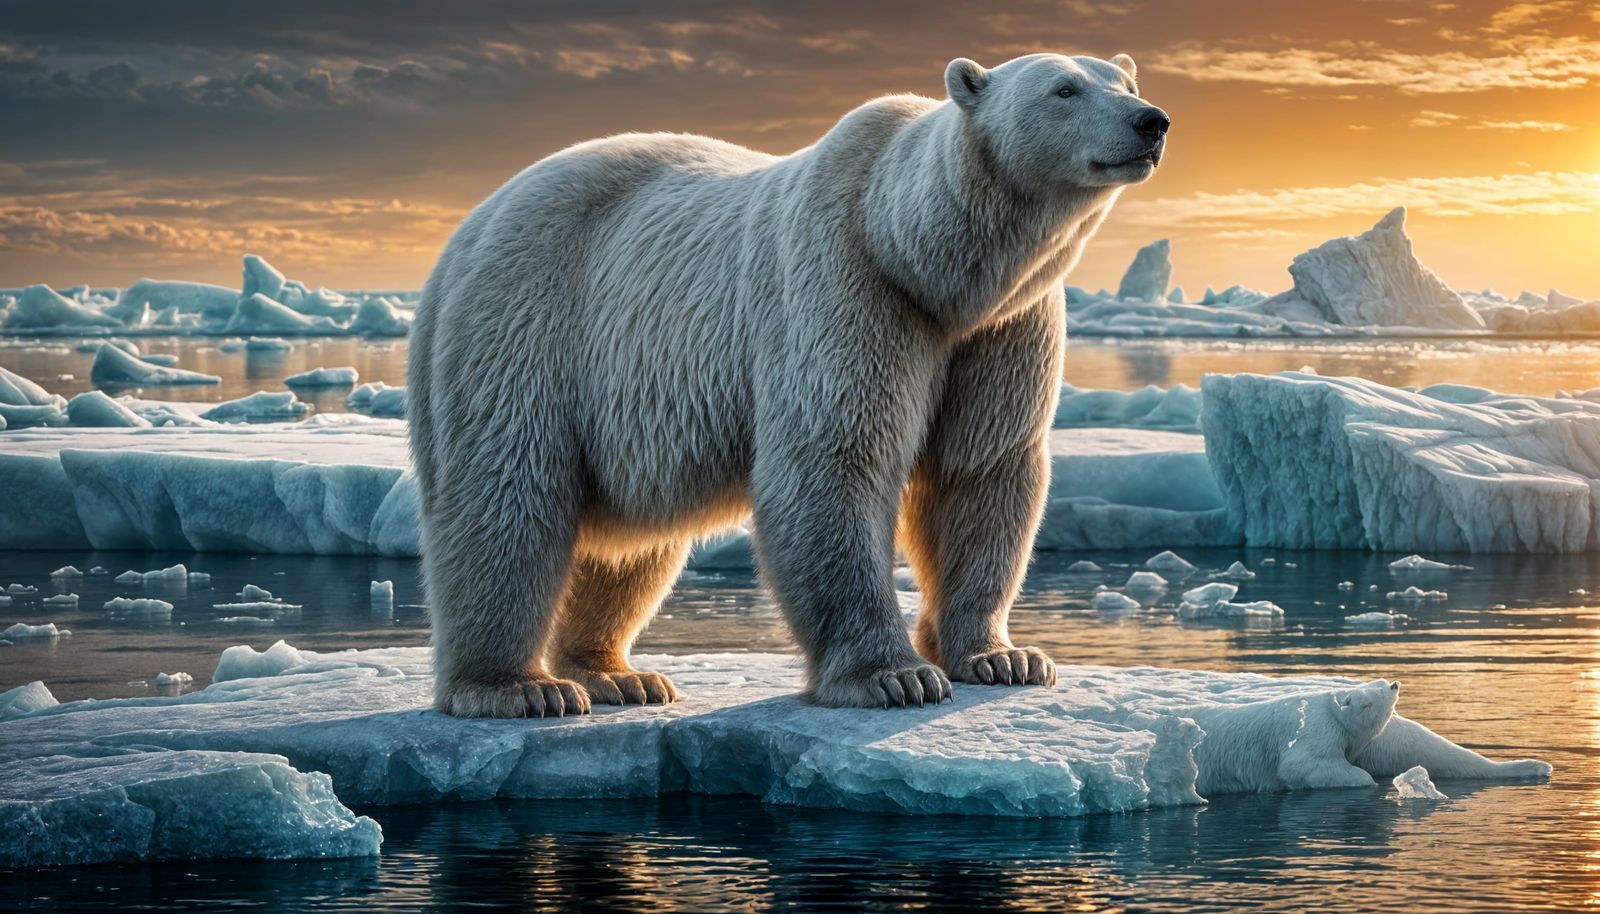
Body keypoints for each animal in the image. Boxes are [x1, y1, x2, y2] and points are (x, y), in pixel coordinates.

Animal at [409, 52, 1171, 718]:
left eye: (1125, 80)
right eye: (1065, 88)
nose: (1152, 120)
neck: (924, 258)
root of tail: (469, 228)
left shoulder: (1004, 326)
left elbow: (982, 465)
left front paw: (1004, 658)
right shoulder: (846, 284)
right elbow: (836, 458)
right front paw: (892, 677)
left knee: (632, 545)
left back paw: (618, 674)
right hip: (530, 324)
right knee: (508, 495)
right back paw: (519, 688)